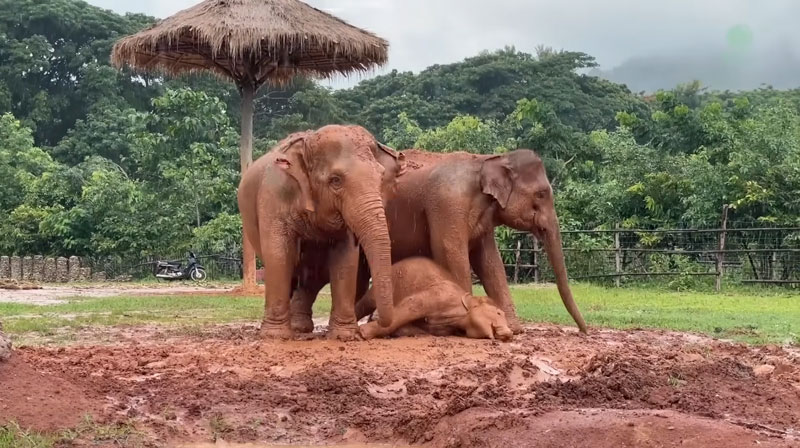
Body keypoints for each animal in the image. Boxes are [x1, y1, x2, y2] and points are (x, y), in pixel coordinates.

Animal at [236, 124, 400, 338]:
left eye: (381, 177)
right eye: (335, 180)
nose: (373, 324)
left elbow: (345, 257)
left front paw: (344, 336)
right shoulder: (275, 193)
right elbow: (278, 254)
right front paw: (274, 336)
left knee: (311, 276)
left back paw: (300, 326)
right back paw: (294, 327)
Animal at [354, 258, 512, 342]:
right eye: (499, 313)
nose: (509, 334)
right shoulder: (439, 294)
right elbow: (410, 306)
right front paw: (361, 333)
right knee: (367, 302)